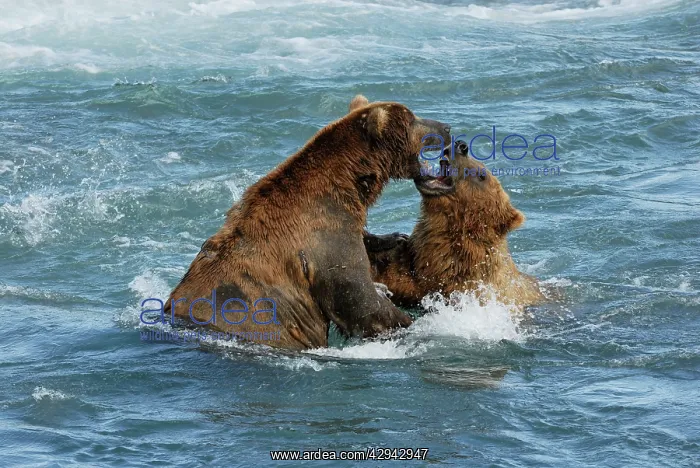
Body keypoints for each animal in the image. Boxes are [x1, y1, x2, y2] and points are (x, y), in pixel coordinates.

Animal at [159, 95, 453, 350]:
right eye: (412, 119)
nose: (446, 127)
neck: (348, 184)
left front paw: (393, 237)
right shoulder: (324, 237)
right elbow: (358, 300)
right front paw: (414, 322)